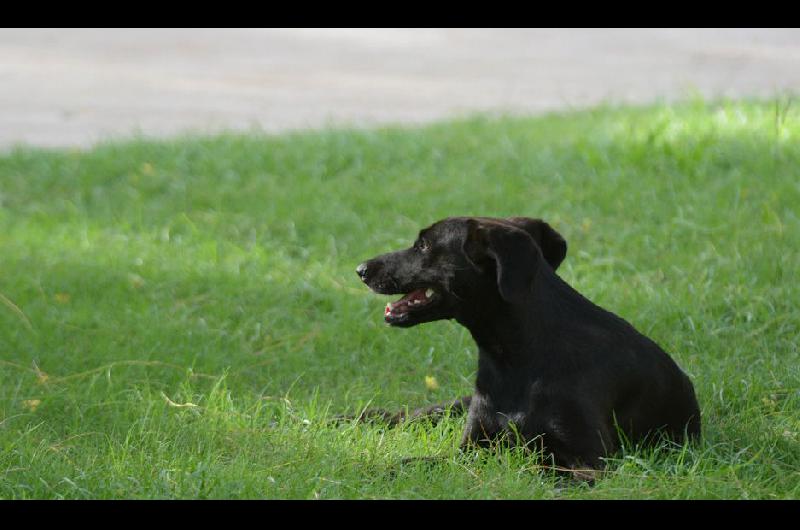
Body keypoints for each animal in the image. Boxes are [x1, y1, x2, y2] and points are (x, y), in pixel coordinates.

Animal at [356, 216, 700, 470]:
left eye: (424, 245)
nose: (360, 269)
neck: (513, 357)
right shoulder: (469, 446)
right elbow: (409, 463)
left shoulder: (587, 462)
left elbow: (529, 465)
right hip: (457, 405)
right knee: (410, 414)